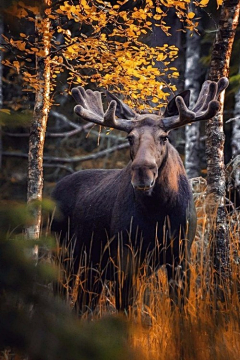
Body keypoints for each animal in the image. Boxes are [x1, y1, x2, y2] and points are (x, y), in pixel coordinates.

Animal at [52, 76, 229, 312]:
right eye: (130, 137)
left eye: (164, 137)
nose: (142, 172)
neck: (158, 212)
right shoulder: (126, 254)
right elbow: (126, 307)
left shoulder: (181, 254)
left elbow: (178, 308)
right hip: (62, 253)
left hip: (92, 268)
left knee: (82, 304)